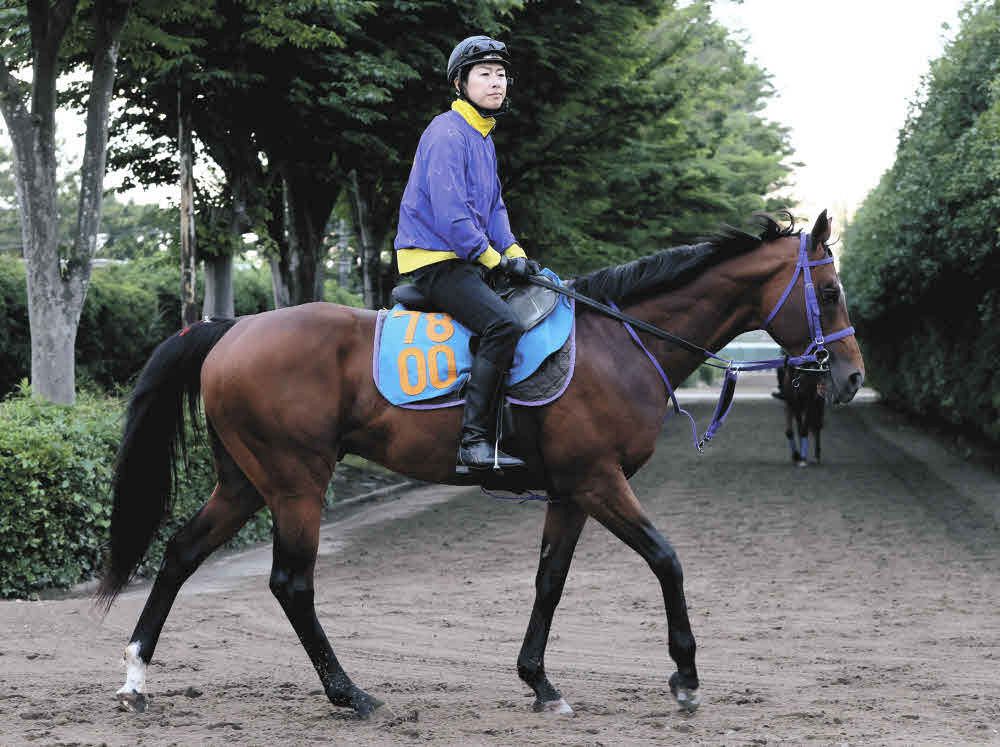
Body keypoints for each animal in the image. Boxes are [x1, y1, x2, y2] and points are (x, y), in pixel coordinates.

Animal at [98, 210, 864, 718]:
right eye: (828, 293)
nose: (852, 376)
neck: (619, 342)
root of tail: (231, 329)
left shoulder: (571, 492)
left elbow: (550, 582)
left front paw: (539, 682)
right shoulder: (599, 480)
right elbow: (666, 559)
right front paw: (685, 676)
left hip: (245, 482)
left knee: (181, 551)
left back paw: (136, 676)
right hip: (295, 483)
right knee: (291, 583)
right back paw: (350, 693)